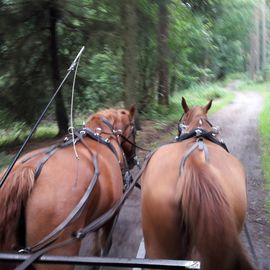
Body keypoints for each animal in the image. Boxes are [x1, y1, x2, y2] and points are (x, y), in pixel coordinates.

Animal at [0, 106, 135, 268]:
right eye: (134, 129)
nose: (133, 160)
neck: (102, 136)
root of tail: (27, 169)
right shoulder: (111, 213)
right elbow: (105, 243)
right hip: (59, 253)